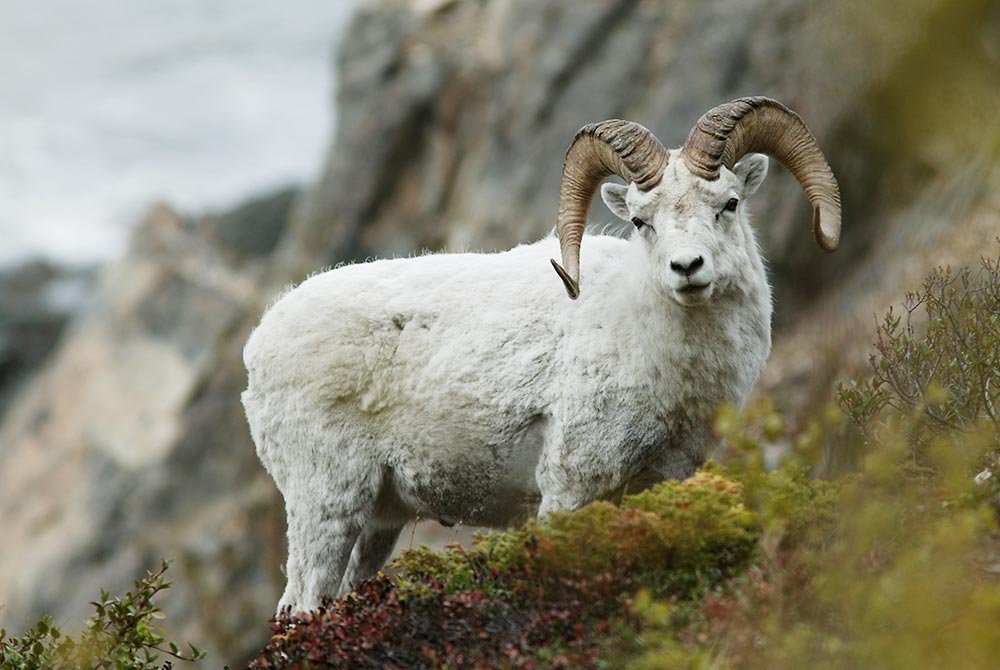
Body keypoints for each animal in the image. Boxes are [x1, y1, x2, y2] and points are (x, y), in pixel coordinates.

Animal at [242, 96, 842, 613]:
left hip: (375, 523)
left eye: (729, 204)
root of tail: (260, 346)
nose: (687, 268)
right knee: (301, 602)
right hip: (326, 503)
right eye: (640, 220)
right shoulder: (570, 489)